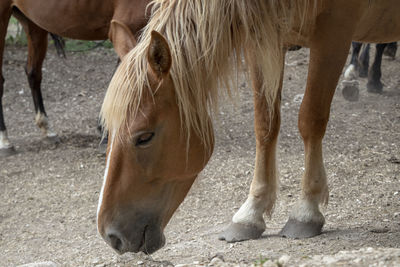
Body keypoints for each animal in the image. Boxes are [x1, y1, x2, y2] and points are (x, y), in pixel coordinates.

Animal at [97, 0, 400, 255]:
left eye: (144, 137)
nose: (111, 236)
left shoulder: (333, 32)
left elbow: (311, 118)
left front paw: (306, 210)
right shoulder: (263, 39)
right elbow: (265, 124)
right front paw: (250, 214)